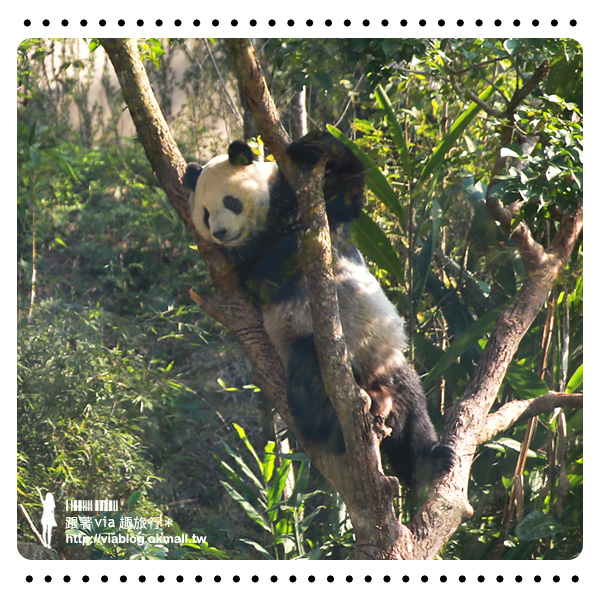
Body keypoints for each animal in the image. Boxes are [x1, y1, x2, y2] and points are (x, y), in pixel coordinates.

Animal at [183, 130, 454, 488]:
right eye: (204, 213)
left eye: (230, 202)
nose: (220, 232)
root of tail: (373, 393)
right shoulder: (234, 263)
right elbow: (261, 276)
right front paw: (290, 235)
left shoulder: (304, 197)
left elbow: (346, 195)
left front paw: (311, 147)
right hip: (304, 344)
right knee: (309, 378)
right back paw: (332, 431)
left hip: (385, 362)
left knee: (413, 410)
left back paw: (430, 460)